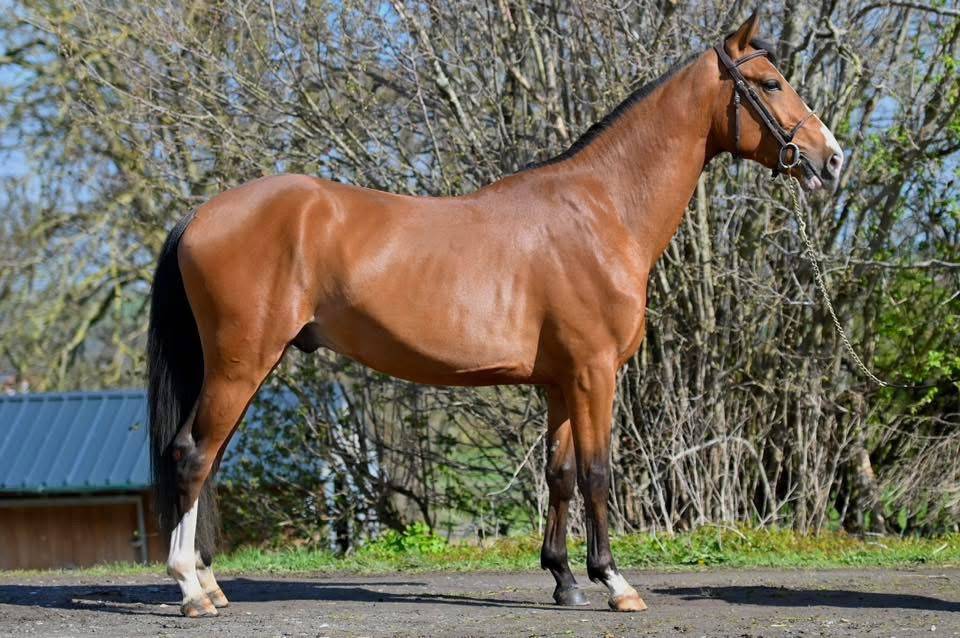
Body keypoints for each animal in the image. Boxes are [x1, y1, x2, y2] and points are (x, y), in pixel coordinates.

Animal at [147, 12, 843, 617]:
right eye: (770, 83)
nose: (832, 158)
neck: (602, 210)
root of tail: (203, 214)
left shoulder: (561, 383)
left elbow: (559, 475)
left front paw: (564, 580)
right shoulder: (594, 374)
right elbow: (597, 474)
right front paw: (614, 582)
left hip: (241, 369)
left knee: (207, 459)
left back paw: (210, 585)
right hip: (240, 365)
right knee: (191, 455)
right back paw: (190, 590)